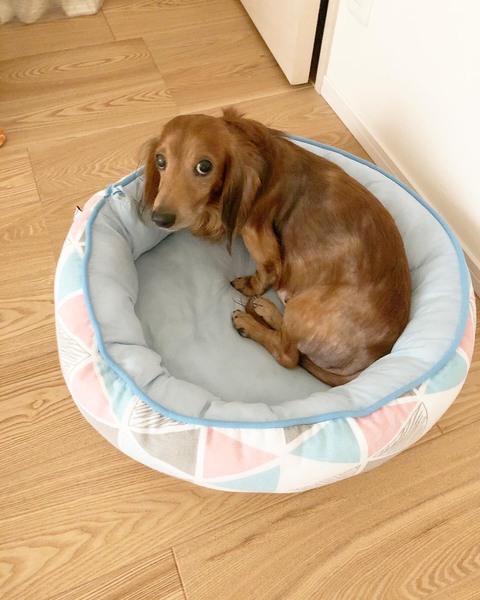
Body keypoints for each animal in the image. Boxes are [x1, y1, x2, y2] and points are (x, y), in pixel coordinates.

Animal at [140, 108, 412, 386]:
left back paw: (250, 324)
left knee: (288, 355)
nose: (160, 218)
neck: (258, 155)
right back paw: (267, 310)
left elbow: (266, 271)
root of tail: (373, 358)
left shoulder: (256, 235)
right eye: (160, 160)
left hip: (304, 307)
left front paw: (250, 286)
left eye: (204, 166)